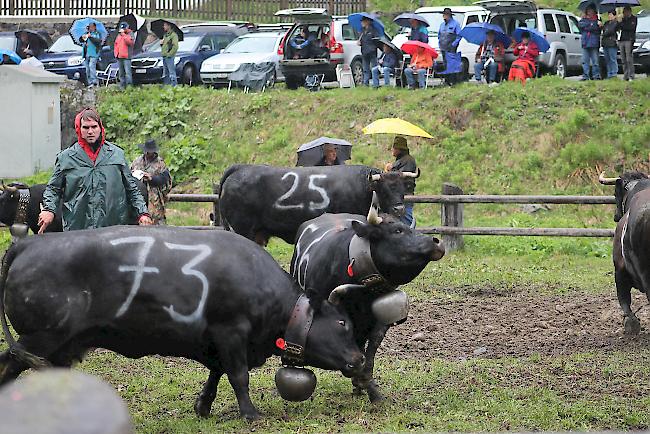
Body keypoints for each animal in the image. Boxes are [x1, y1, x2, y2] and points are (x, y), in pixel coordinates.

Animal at [0, 227, 364, 420]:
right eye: (343, 322)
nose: (359, 359)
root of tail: (28, 243)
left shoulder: (216, 340)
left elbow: (217, 373)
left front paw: (203, 405)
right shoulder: (231, 331)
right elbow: (238, 376)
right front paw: (250, 413)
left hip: (58, 346)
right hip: (40, 337)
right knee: (8, 365)